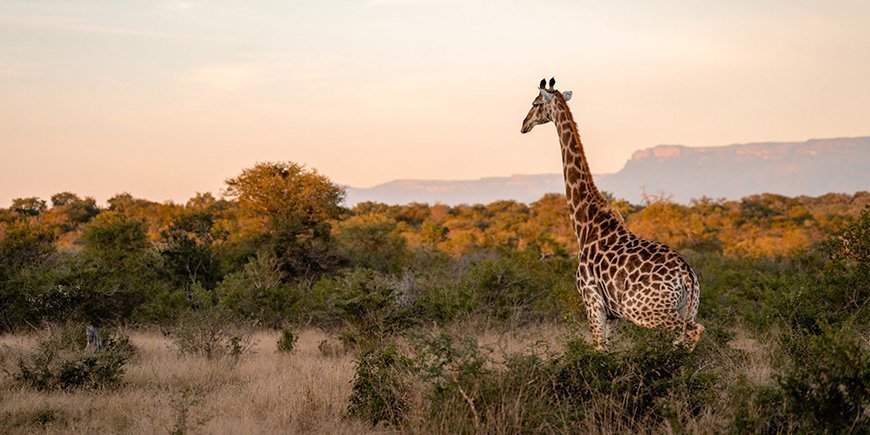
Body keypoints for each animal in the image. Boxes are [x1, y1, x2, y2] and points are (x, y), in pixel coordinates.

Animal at [521, 77, 704, 351]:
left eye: (535, 104)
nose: (524, 125)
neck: (586, 223)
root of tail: (686, 275)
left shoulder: (592, 302)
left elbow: (599, 349)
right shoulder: (612, 315)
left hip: (646, 311)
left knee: (692, 332)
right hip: (689, 307)